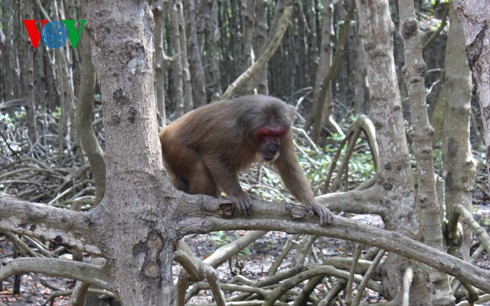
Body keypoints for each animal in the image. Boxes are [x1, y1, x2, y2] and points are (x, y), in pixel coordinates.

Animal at [159, 94, 334, 226]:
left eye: (277, 133)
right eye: (266, 134)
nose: (273, 147)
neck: (250, 134)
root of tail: (164, 132)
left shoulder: (286, 133)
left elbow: (288, 166)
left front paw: (312, 203)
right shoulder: (228, 131)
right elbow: (213, 156)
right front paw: (238, 195)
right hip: (174, 148)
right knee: (200, 169)